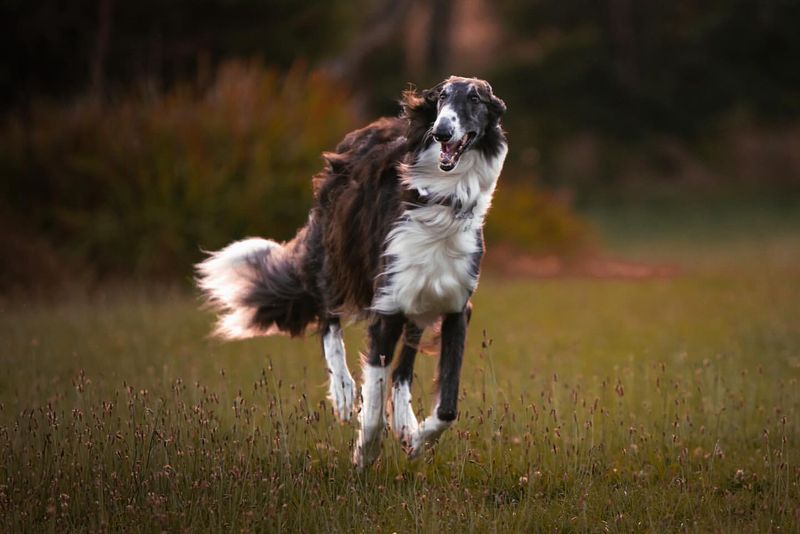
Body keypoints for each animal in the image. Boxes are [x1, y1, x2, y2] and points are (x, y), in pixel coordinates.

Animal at [197, 76, 506, 468]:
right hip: (339, 253)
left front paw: (416, 440)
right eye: (441, 98)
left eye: (476, 98)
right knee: (328, 314)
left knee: (404, 366)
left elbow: (447, 409)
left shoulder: (454, 306)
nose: (442, 132)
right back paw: (342, 389)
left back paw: (405, 421)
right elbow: (372, 400)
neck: (442, 200)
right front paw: (365, 453)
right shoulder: (387, 305)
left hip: (415, 300)